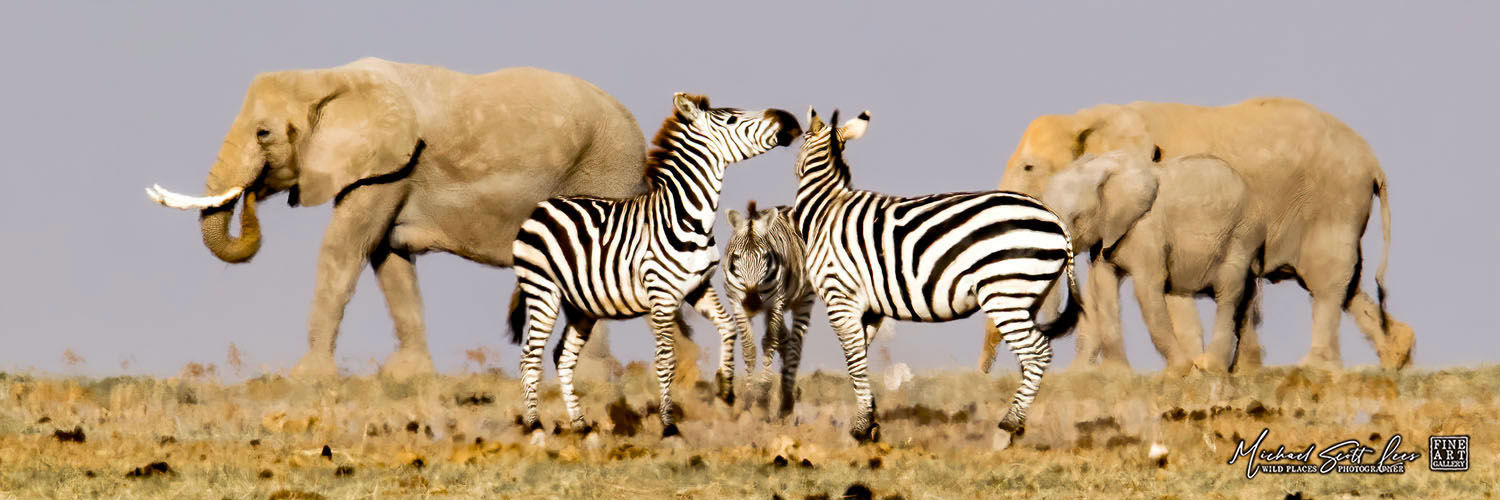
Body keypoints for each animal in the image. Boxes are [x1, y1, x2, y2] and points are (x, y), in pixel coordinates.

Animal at [147, 57, 652, 380]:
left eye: (264, 134)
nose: (252, 196)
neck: (328, 77)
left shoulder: (390, 166)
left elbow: (344, 248)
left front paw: (307, 378)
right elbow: (388, 259)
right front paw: (408, 377)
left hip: (606, 168)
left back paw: (590, 380)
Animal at [508, 93, 800, 439]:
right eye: (731, 120)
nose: (789, 120)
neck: (688, 218)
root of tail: (542, 206)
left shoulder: (698, 287)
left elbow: (728, 328)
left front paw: (726, 388)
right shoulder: (662, 296)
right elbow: (665, 361)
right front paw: (669, 425)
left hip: (581, 306)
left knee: (563, 357)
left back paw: (579, 424)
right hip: (543, 290)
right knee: (530, 356)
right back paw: (534, 425)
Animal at [722, 199, 815, 416]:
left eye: (765, 257)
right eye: (736, 257)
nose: (752, 302)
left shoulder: (775, 302)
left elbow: (769, 342)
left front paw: (763, 396)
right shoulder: (737, 303)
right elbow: (748, 347)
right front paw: (749, 397)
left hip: (803, 299)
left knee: (795, 344)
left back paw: (787, 399)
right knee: (786, 339)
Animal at [791, 108, 1083, 443]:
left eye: (801, 138)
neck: (827, 206)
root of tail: (1056, 220)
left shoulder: (840, 297)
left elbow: (853, 360)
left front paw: (860, 427)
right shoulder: (870, 311)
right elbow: (859, 362)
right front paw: (869, 420)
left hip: (1005, 294)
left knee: (1038, 353)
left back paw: (1007, 426)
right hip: (1027, 297)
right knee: (1029, 359)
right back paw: (1018, 426)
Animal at [995, 97, 1413, 371]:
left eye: (1029, 167)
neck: (1092, 117)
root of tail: (1375, 164)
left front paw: (1191, 366)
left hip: (1332, 204)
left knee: (1326, 281)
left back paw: (1310, 367)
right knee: (1347, 283)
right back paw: (1395, 356)